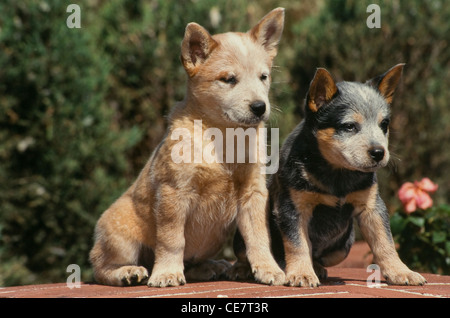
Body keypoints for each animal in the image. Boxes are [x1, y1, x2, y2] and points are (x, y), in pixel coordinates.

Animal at [89, 7, 284, 286]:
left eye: (263, 77)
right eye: (229, 79)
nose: (260, 107)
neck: (223, 139)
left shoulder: (253, 192)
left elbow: (258, 237)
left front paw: (269, 269)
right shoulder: (174, 192)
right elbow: (172, 240)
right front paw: (167, 273)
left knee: (191, 263)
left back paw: (210, 266)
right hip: (120, 237)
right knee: (100, 268)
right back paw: (128, 272)